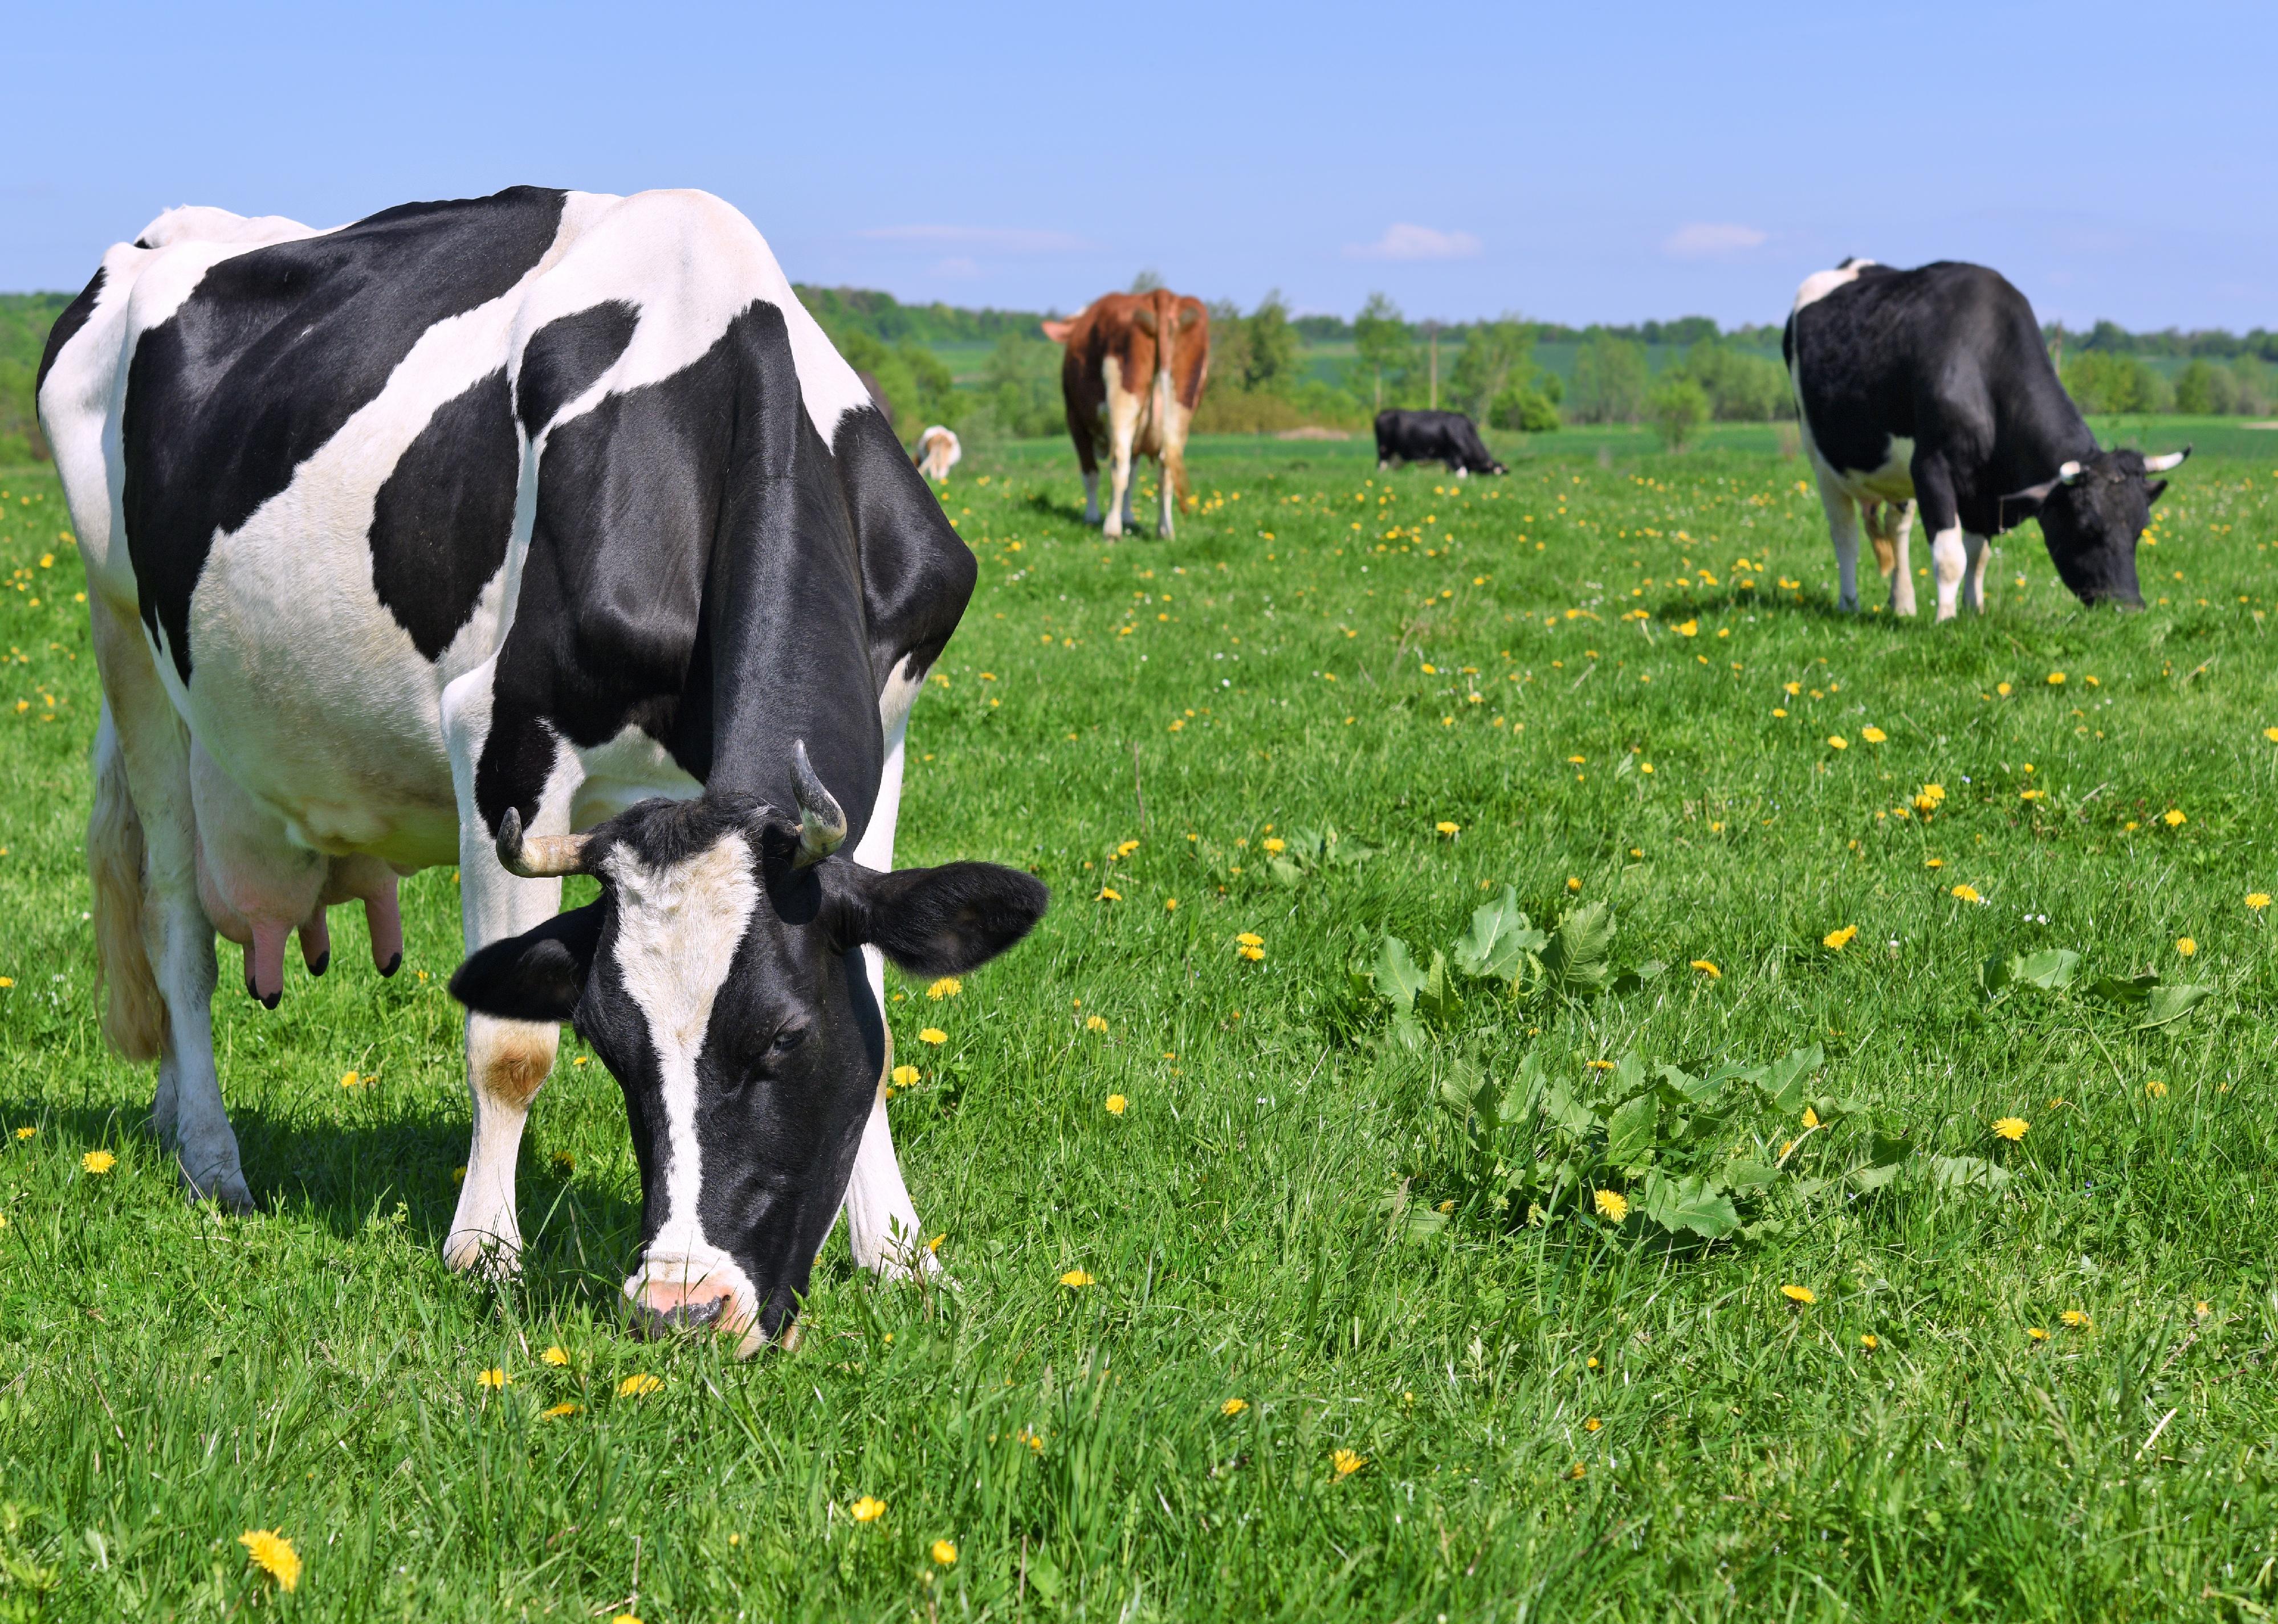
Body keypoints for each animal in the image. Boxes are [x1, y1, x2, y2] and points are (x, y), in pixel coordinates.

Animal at [38, 186, 1048, 1357]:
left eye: (787, 1038)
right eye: (612, 1047)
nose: (682, 1308)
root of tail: (160, 234)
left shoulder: (884, 736)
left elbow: (878, 997)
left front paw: (897, 1252)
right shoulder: (502, 737)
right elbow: (507, 1047)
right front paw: (484, 1249)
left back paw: (166, 1116)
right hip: (125, 640)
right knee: (171, 925)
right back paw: (210, 1156)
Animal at [1043, 291, 1212, 537]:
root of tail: (1160, 294)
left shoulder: (1075, 419)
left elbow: (1091, 472)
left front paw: (1092, 517)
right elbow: (1133, 476)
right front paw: (1129, 517)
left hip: (1122, 399)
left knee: (1119, 463)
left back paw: (1112, 529)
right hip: (1182, 403)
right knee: (1167, 465)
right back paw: (1165, 530)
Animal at [1367, 407, 1513, 478]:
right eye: (1492, 473)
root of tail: (1382, 414)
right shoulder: (1455, 457)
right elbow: (1462, 475)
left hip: (1397, 457)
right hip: (1384, 450)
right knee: (1380, 468)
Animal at [1776, 256, 2187, 619]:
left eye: (2140, 529)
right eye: (2087, 528)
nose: (2128, 608)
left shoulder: (1982, 492)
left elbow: (1978, 556)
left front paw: (1974, 612)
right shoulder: (1931, 467)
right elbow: (1950, 556)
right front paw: (1945, 620)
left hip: (1894, 472)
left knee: (1897, 529)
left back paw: (1903, 604)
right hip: (1821, 459)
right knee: (1843, 535)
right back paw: (1849, 604)